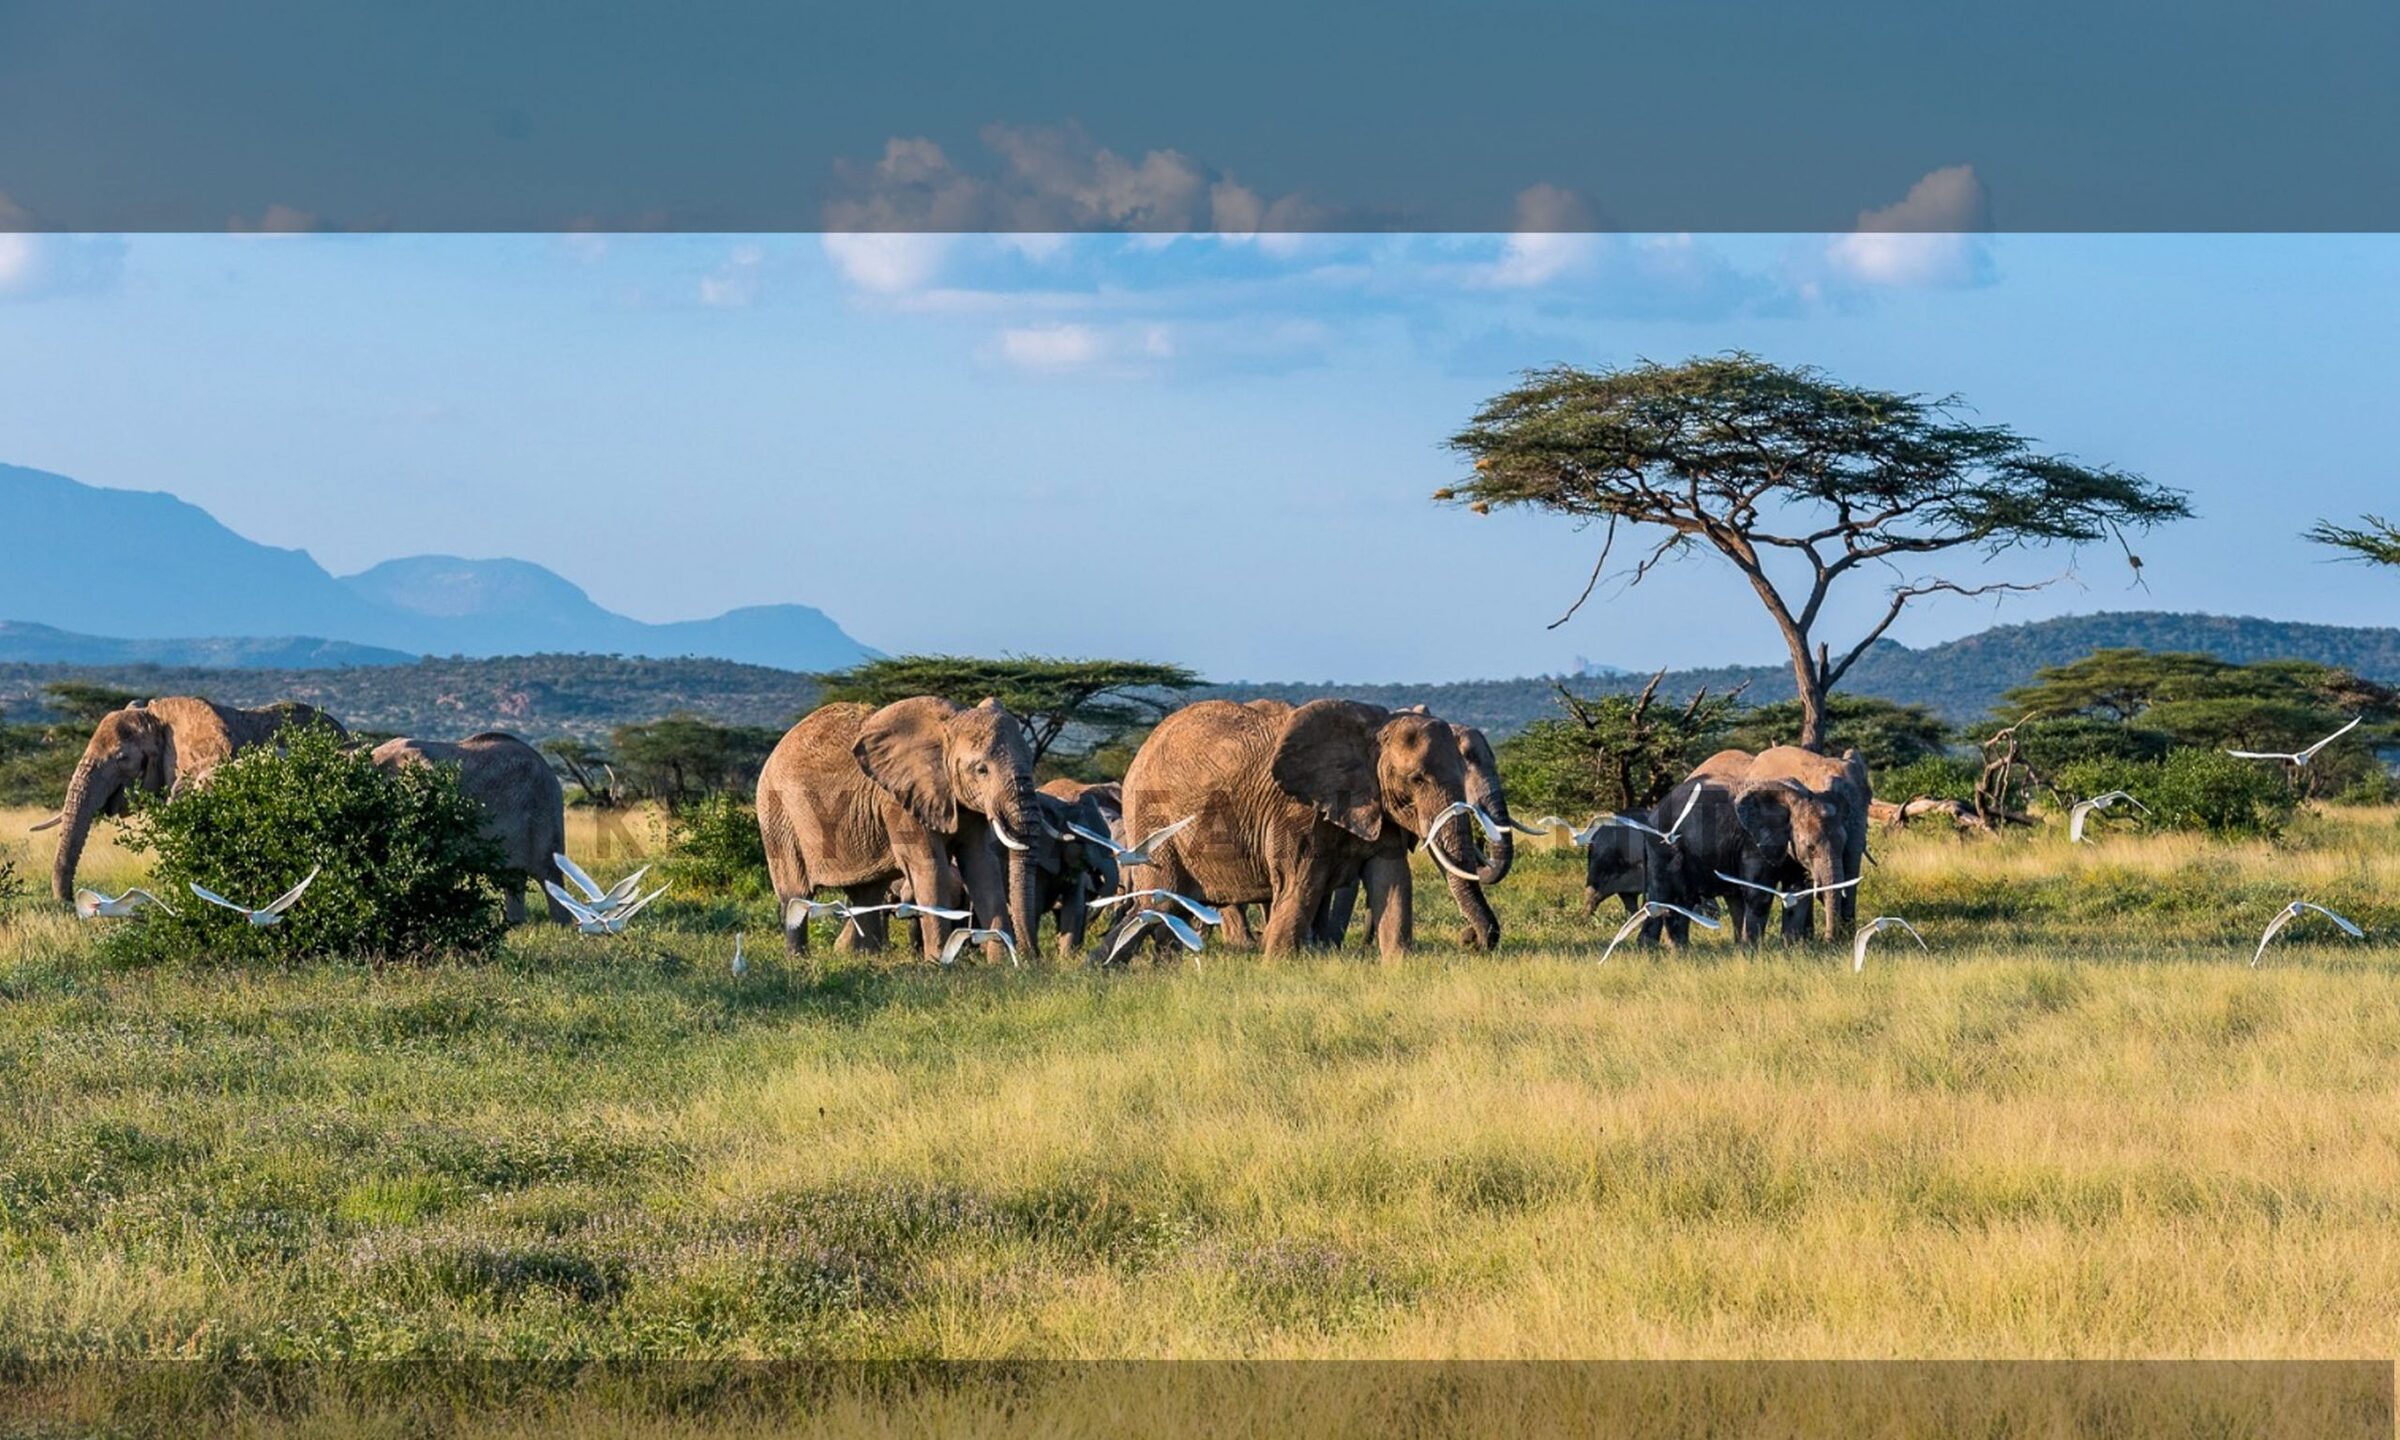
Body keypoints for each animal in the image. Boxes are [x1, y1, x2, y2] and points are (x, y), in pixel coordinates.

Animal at [755, 696, 1051, 960]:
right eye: (981, 770)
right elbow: (931, 868)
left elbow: (982, 867)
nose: (1032, 956)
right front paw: (939, 965)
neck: (948, 728)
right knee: (796, 895)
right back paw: (799, 960)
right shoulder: (899, 801)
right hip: (778, 814)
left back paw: (863, 958)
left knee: (867, 893)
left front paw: (1002, 966)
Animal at [1112, 698, 1486, 958]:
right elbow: (1300, 887)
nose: (1472, 940)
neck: (1374, 728)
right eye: (1417, 779)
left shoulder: (1378, 806)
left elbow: (1392, 882)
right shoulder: (1295, 814)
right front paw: (1275, 967)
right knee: (1157, 902)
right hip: (1150, 818)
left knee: (1165, 907)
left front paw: (1398, 964)